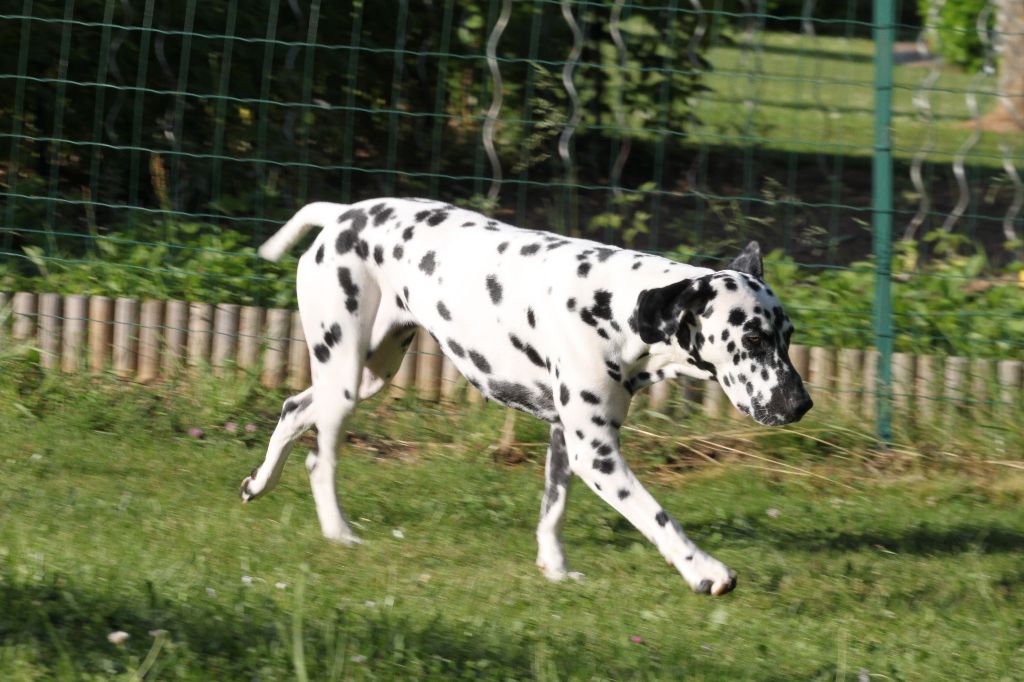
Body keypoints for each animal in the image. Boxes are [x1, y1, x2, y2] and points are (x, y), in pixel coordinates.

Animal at [241, 193, 815, 593]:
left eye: (788, 336)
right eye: (753, 338)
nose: (800, 404)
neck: (619, 306)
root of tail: (343, 215)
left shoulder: (567, 440)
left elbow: (552, 511)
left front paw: (555, 568)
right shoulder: (596, 454)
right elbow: (658, 517)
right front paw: (705, 570)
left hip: (366, 375)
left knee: (293, 409)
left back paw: (259, 483)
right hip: (343, 376)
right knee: (321, 459)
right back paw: (338, 531)